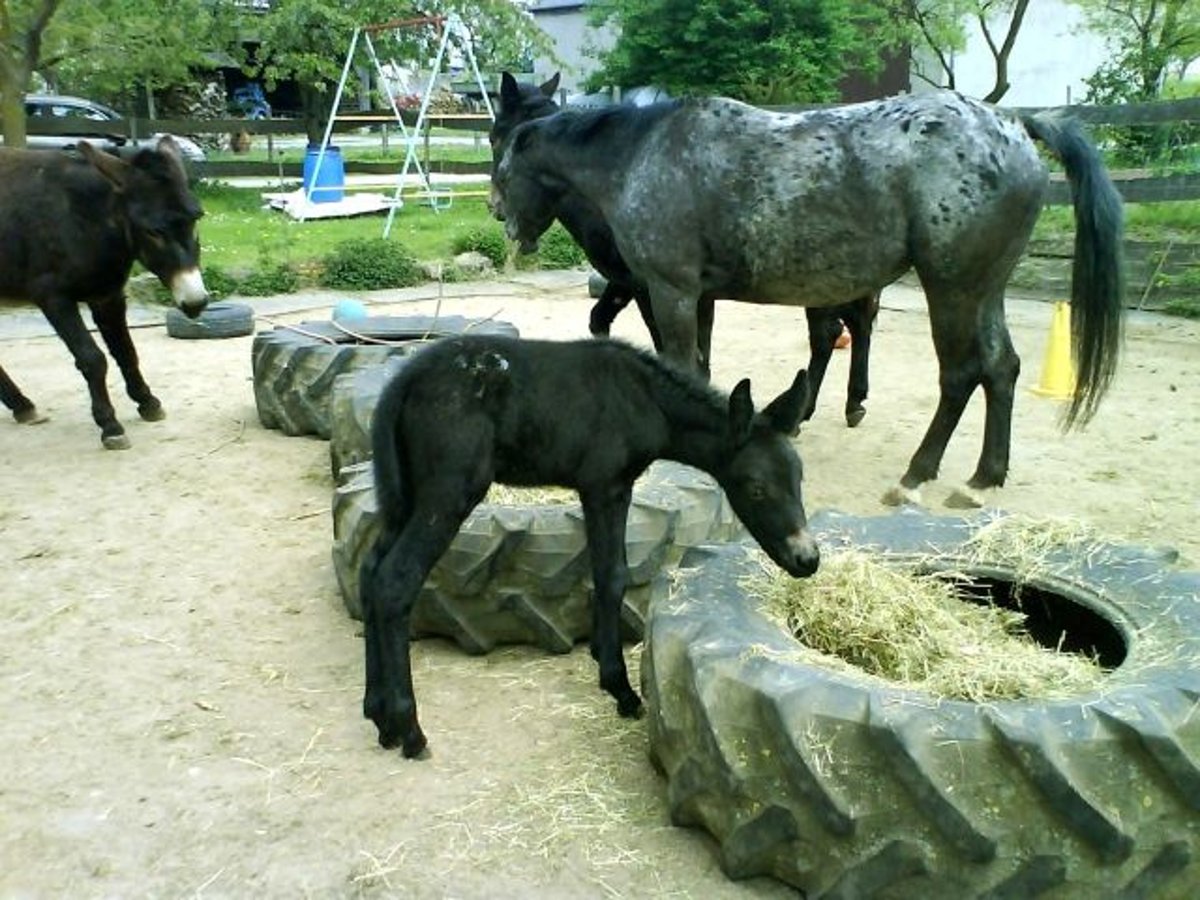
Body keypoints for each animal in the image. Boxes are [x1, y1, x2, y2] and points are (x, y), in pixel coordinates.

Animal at [1, 139, 208, 448]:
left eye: (196, 219)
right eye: (153, 232)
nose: (196, 303)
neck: (86, 220)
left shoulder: (107, 295)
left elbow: (126, 352)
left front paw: (147, 402)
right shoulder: (53, 297)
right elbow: (92, 358)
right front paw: (110, 425)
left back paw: (22, 407)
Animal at [360, 336, 820, 758]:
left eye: (800, 476)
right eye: (756, 487)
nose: (808, 559)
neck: (646, 399)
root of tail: (401, 385)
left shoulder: (602, 488)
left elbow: (603, 574)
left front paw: (604, 662)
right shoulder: (605, 484)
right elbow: (612, 574)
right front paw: (621, 688)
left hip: (403, 495)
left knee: (370, 570)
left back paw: (379, 716)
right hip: (449, 492)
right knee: (395, 581)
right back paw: (410, 729)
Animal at [487, 95, 1123, 511]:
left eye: (502, 155)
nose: (499, 216)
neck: (643, 154)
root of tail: (1014, 124)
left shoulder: (671, 292)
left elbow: (680, 363)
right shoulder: (696, 296)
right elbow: (700, 369)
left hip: (953, 289)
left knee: (962, 374)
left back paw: (915, 476)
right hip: (984, 291)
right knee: (1001, 369)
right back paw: (983, 477)